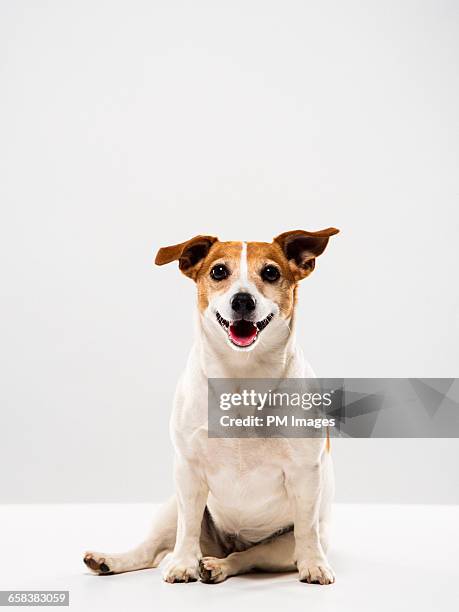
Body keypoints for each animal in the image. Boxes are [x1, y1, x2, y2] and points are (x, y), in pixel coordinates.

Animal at [84, 228, 340, 584]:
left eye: (270, 272)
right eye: (219, 271)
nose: (242, 300)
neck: (242, 376)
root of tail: (225, 543)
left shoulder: (305, 473)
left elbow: (306, 529)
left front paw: (314, 564)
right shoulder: (188, 469)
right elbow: (188, 527)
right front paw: (182, 564)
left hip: (278, 548)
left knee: (246, 557)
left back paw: (216, 566)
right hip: (170, 508)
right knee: (152, 548)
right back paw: (113, 560)